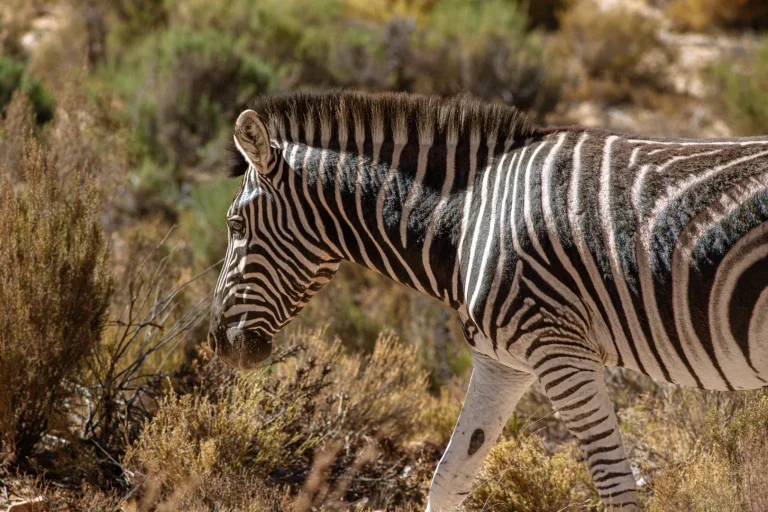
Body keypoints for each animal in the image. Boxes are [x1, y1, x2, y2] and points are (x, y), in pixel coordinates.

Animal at [208, 90, 768, 511]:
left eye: (235, 226)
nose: (219, 345)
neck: (468, 220)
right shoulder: (504, 362)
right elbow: (449, 478)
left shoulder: (561, 350)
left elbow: (614, 485)